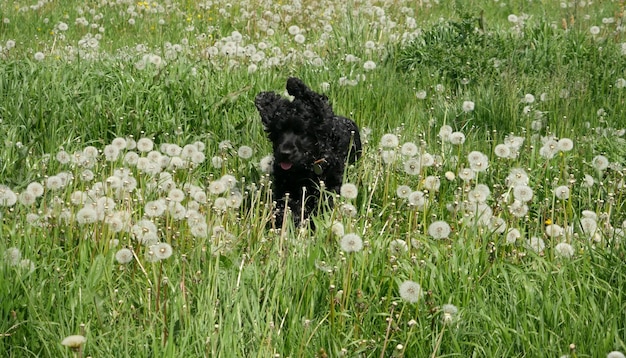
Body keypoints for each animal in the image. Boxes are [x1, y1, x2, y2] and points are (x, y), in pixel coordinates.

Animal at [254, 78, 360, 228]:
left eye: (302, 132)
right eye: (278, 131)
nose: (285, 153)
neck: (306, 167)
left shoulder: (330, 186)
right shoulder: (285, 186)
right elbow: (288, 206)